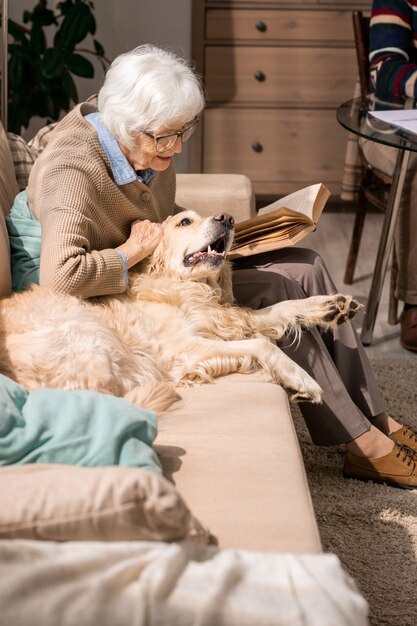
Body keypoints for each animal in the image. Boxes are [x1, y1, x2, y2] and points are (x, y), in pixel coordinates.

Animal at [0, 212, 360, 412]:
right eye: (184, 221)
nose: (227, 218)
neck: (186, 287)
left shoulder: (224, 317)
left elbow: (281, 308)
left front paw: (331, 305)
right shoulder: (183, 348)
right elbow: (261, 344)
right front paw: (303, 380)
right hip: (89, 336)